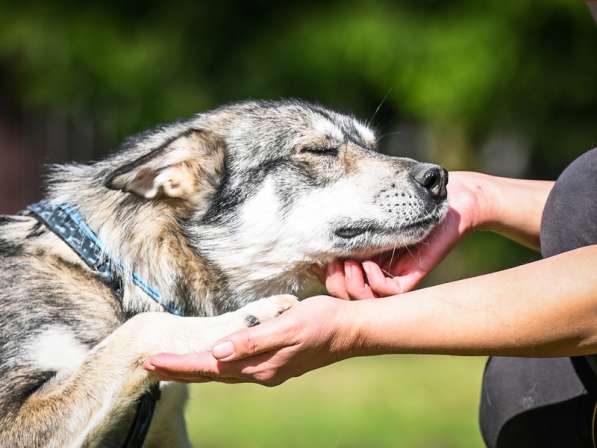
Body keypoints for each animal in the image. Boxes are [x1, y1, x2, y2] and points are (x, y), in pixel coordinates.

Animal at [0, 100, 448, 446]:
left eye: (373, 147)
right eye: (319, 150)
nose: (439, 178)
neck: (114, 276)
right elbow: (145, 325)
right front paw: (248, 316)